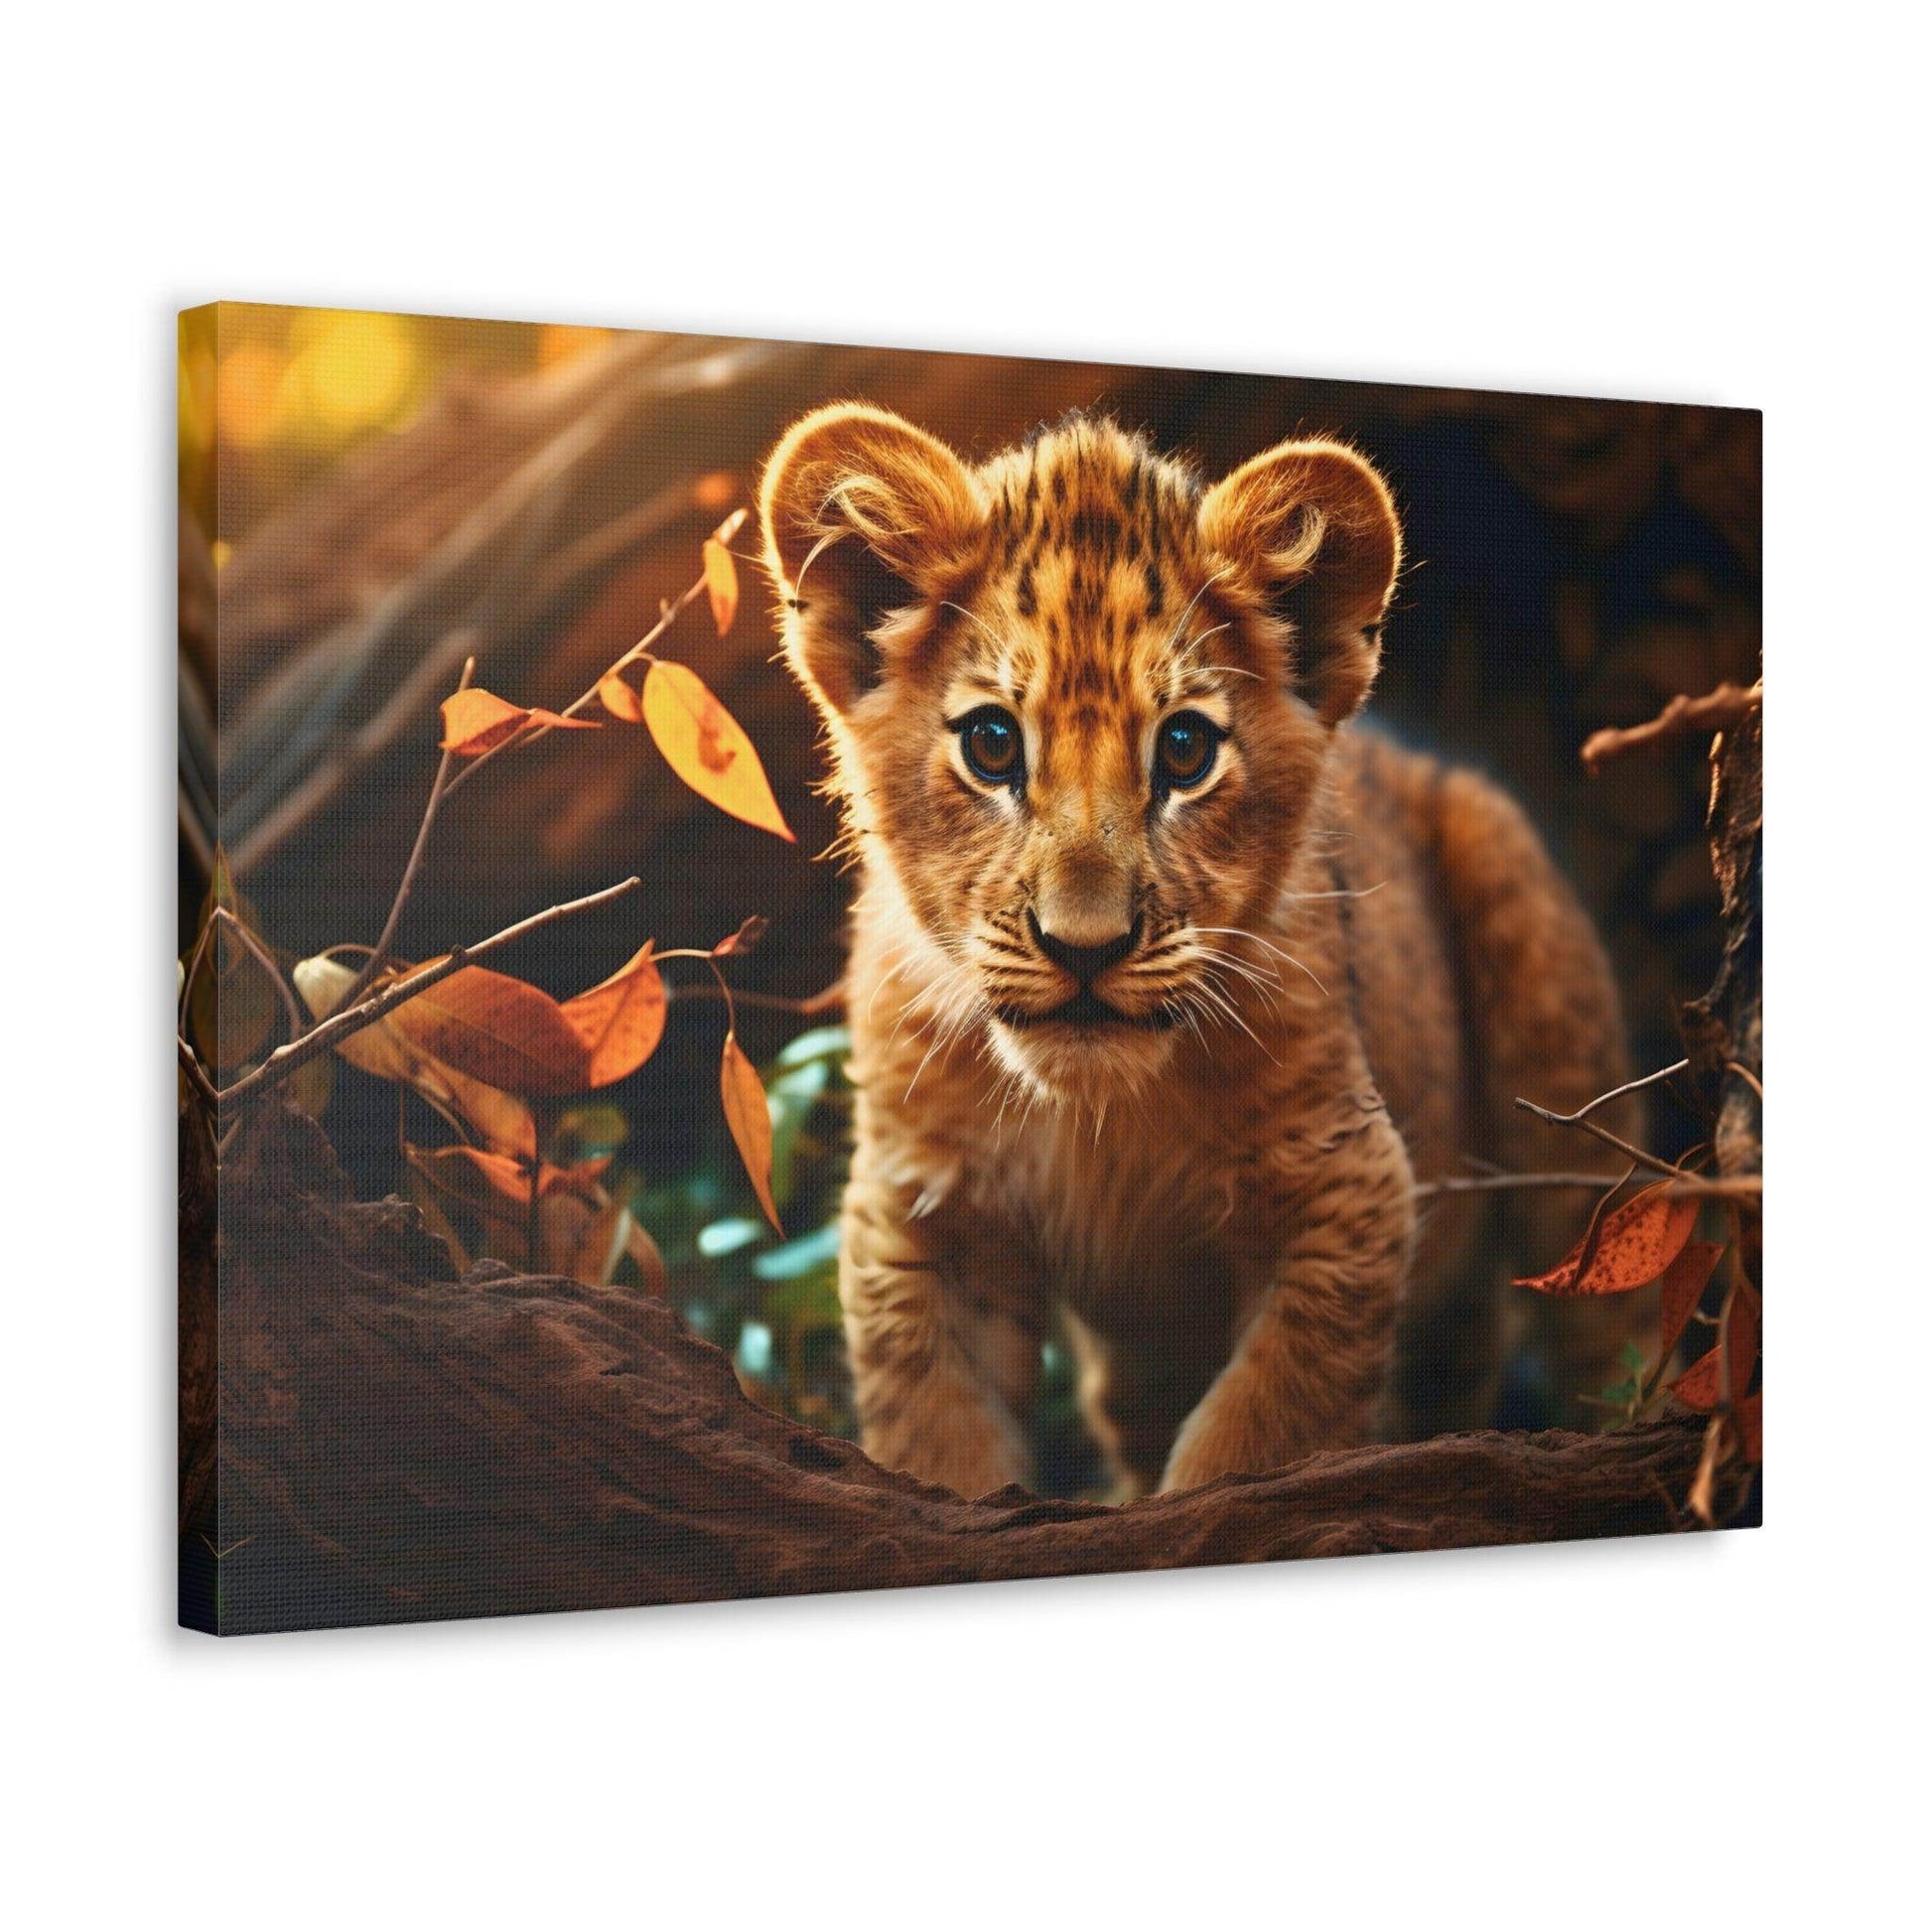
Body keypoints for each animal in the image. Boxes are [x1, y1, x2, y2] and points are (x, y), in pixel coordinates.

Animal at [758, 402, 1642, 1499]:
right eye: (992, 745)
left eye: (1183, 750)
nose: (1083, 947)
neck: (1098, 1116)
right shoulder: (922, 1214)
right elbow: (943, 1443)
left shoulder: (1345, 1189)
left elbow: (1255, 1434)